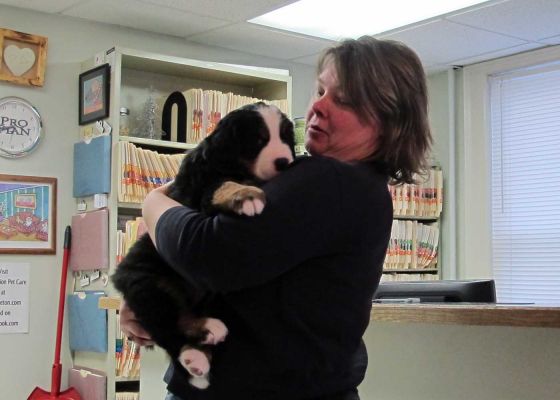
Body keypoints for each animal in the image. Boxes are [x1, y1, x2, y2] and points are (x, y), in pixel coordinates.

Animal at [113, 101, 298, 390]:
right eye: (258, 140)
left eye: (285, 137)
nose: (284, 162)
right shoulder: (202, 193)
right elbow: (223, 185)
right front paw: (246, 197)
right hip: (149, 281)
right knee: (168, 323)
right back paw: (202, 341)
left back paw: (198, 356)